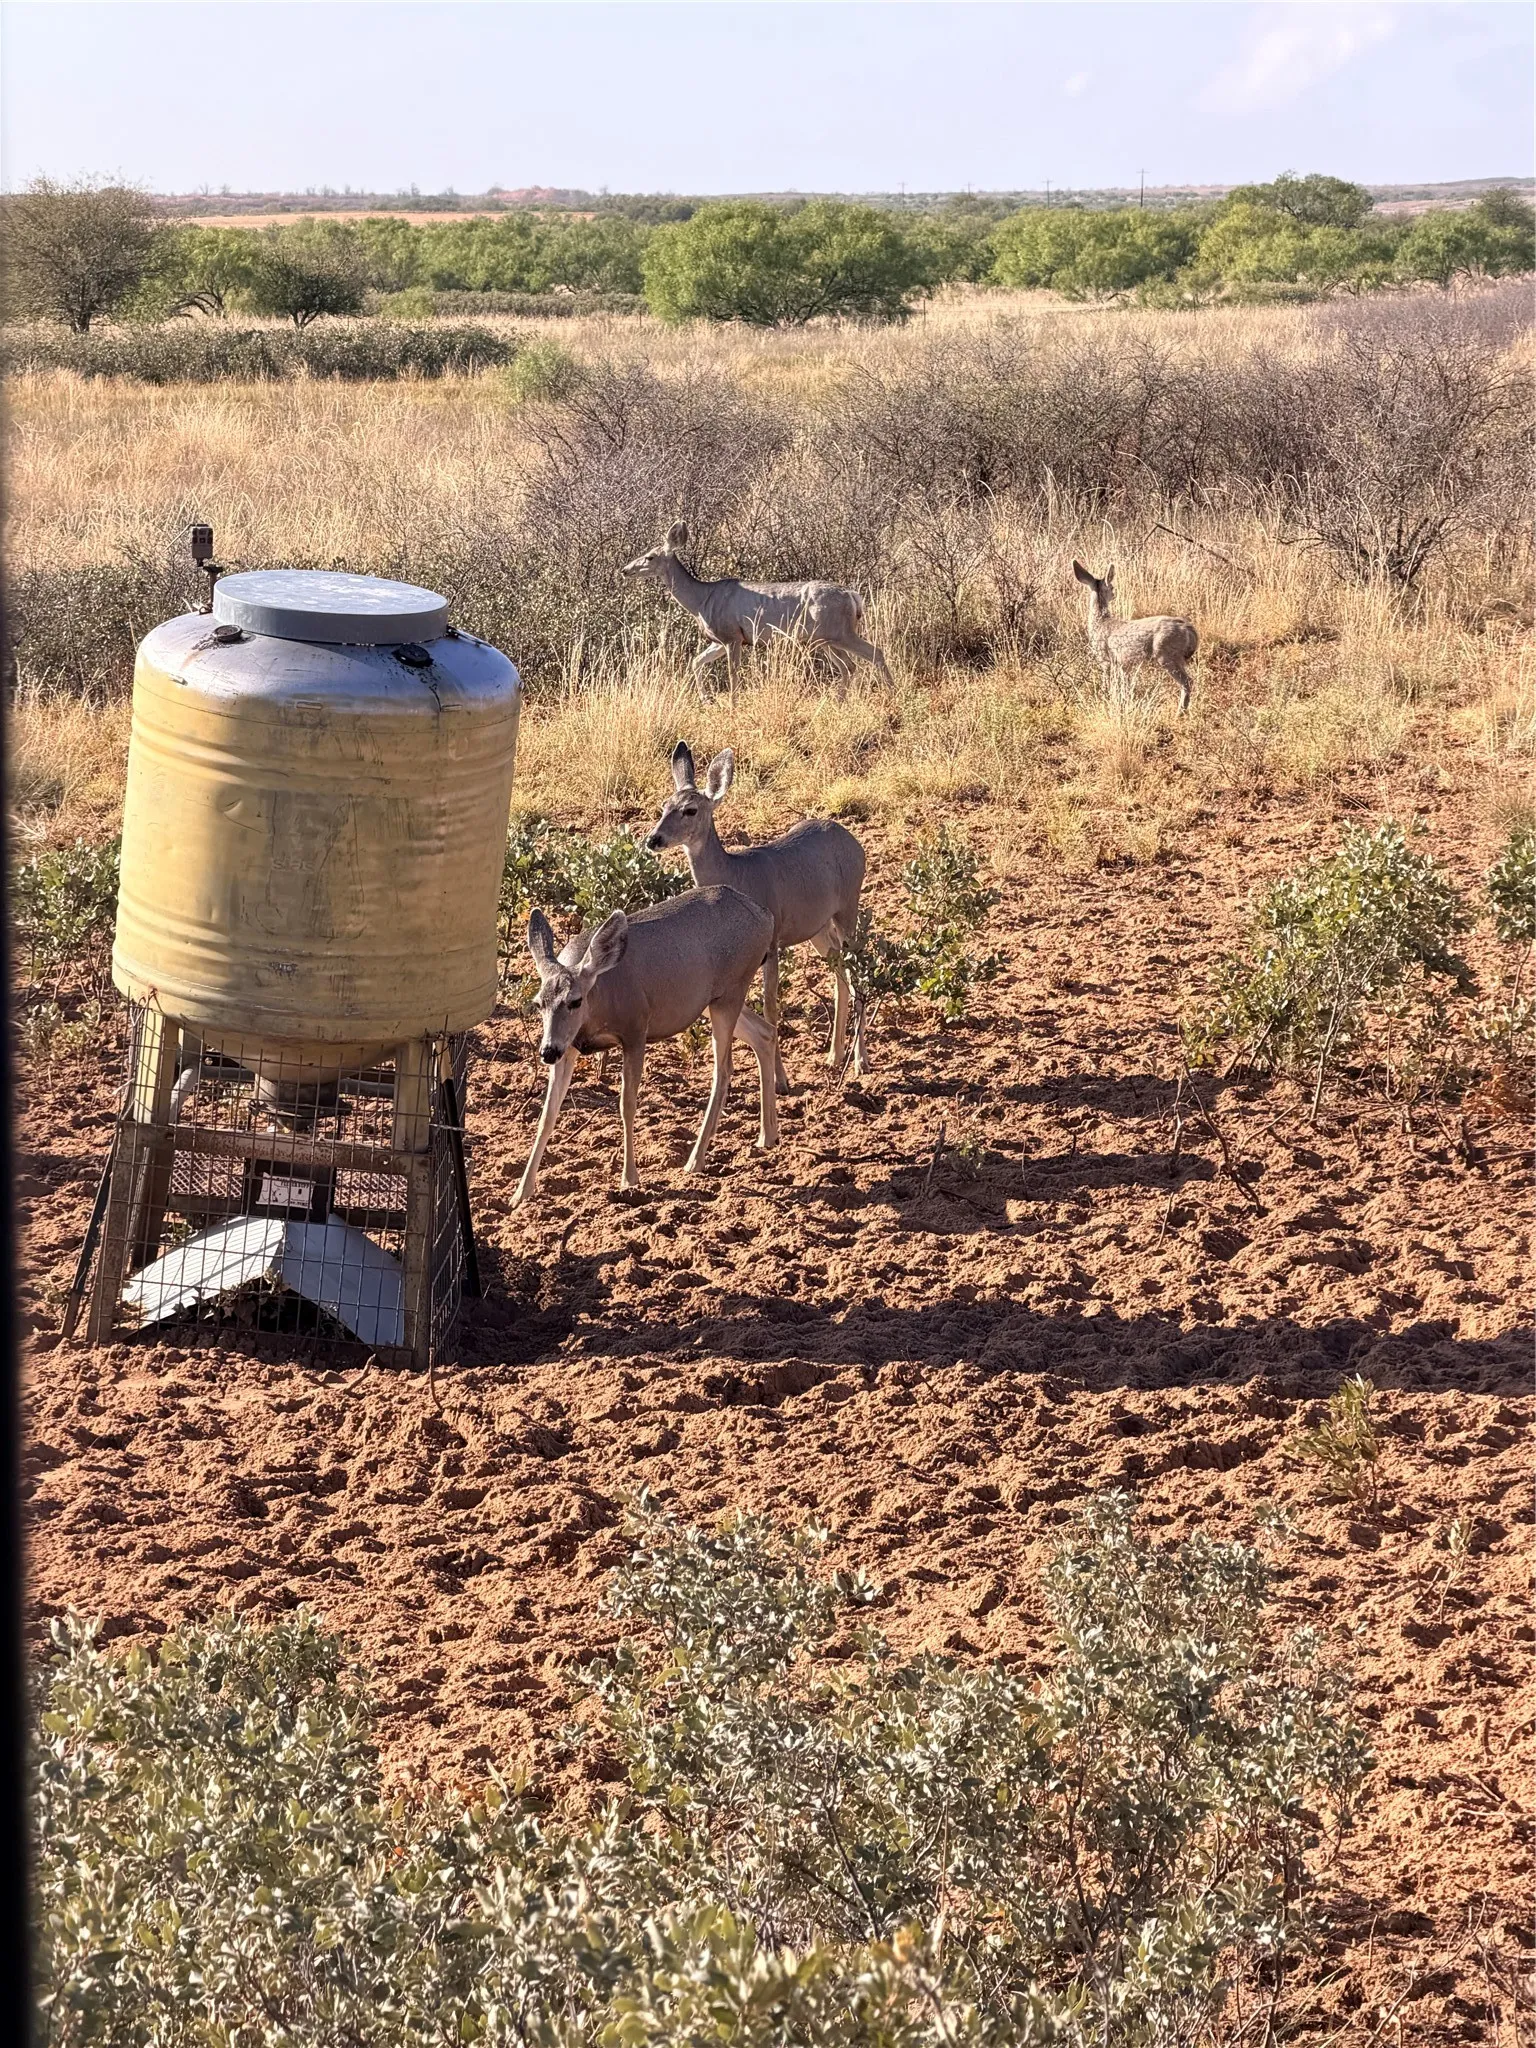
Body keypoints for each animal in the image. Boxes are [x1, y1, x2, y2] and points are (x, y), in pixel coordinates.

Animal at [511, 887, 779, 1209]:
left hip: (732, 990)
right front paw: (520, 1192)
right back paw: (768, 1136)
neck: (602, 995)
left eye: (575, 1001)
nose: (547, 1051)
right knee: (765, 1033)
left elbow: (627, 1105)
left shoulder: (636, 1030)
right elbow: (547, 1114)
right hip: (711, 1000)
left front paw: (629, 1179)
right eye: (539, 1003)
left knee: (724, 1069)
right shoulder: (571, 1045)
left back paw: (695, 1160)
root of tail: (765, 917)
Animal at [621, 522, 892, 700]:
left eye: (650, 557)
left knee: (875, 653)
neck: (701, 601)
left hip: (839, 631)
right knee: (849, 666)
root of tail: (853, 596)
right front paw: (706, 699)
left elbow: (733, 675)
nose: (625, 570)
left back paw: (892, 694)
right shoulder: (720, 639)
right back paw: (839, 700)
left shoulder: (731, 636)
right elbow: (696, 661)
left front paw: (732, 704)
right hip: (824, 639)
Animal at [646, 742, 866, 1091]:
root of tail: (853, 841)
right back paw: (834, 1055)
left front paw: (781, 1080)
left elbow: (770, 1007)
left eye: (690, 810)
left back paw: (860, 1061)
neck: (737, 874)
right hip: (817, 928)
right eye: (664, 806)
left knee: (858, 969)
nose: (653, 839)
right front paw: (733, 1073)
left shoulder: (771, 944)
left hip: (848, 906)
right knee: (840, 970)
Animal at [1072, 561, 1198, 715]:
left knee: (1187, 682)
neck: (1100, 622)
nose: (1115, 594)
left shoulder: (1104, 658)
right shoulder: (1123, 664)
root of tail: (1189, 629)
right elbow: (1124, 686)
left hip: (1167, 655)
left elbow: (1108, 682)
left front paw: (1105, 697)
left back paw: (1179, 713)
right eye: (1112, 587)